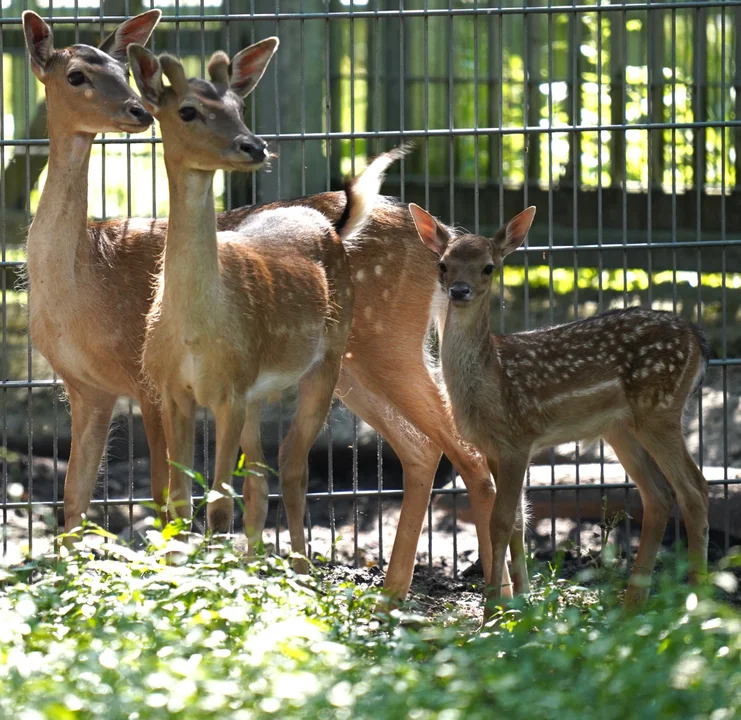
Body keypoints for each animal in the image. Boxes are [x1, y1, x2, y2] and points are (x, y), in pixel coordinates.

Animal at [24, 9, 508, 596]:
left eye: (121, 71)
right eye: (76, 75)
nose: (136, 111)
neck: (79, 286)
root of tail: (440, 237)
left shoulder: (144, 379)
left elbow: (164, 494)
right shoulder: (85, 387)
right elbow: (73, 498)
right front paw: (68, 584)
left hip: (388, 341)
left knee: (468, 453)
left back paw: (497, 594)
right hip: (352, 366)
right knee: (421, 450)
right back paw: (395, 590)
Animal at [410, 202, 712, 612]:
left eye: (489, 266)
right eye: (442, 264)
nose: (459, 290)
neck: (491, 380)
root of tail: (697, 338)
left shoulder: (518, 440)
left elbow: (500, 521)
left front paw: (492, 612)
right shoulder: (493, 448)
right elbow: (518, 519)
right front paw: (523, 603)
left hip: (660, 409)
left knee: (694, 488)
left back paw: (696, 601)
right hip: (620, 427)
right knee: (659, 496)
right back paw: (632, 604)